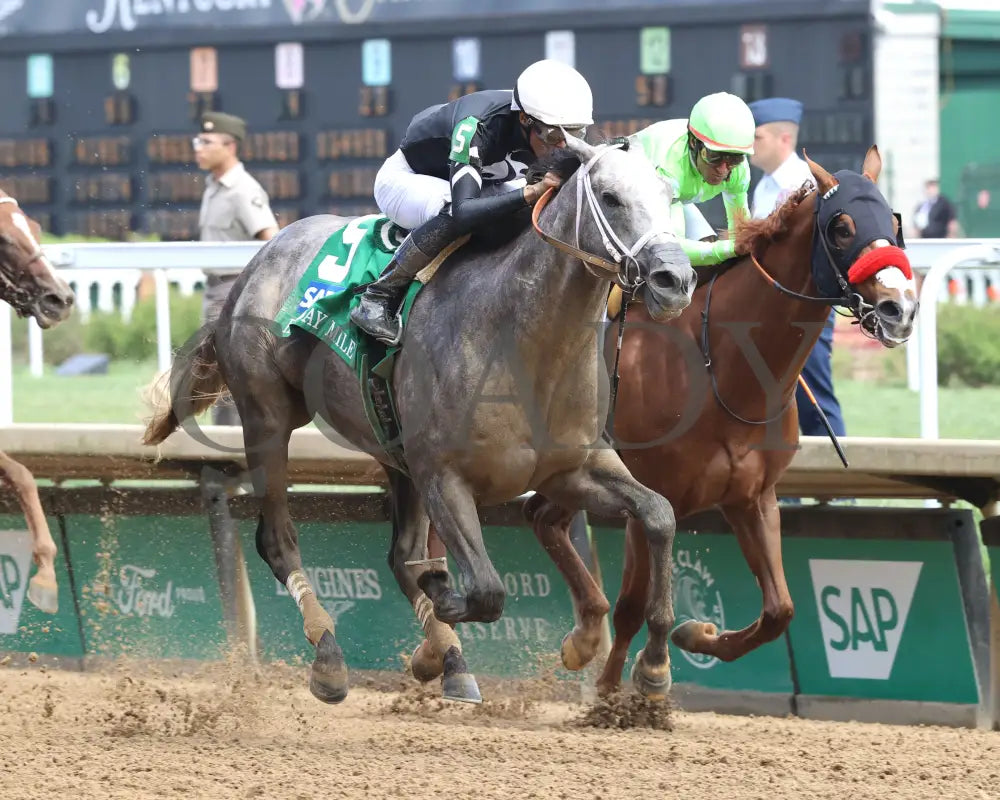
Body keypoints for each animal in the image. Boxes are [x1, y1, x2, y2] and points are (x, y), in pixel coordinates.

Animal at [145, 138, 700, 708]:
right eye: (610, 197)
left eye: (670, 196)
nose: (675, 281)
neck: (524, 344)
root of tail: (254, 267)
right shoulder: (444, 477)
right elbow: (486, 589)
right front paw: (444, 604)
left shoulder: (572, 468)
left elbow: (658, 514)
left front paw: (650, 664)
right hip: (267, 418)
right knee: (279, 540)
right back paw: (331, 659)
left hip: (392, 449)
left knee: (401, 555)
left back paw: (449, 661)